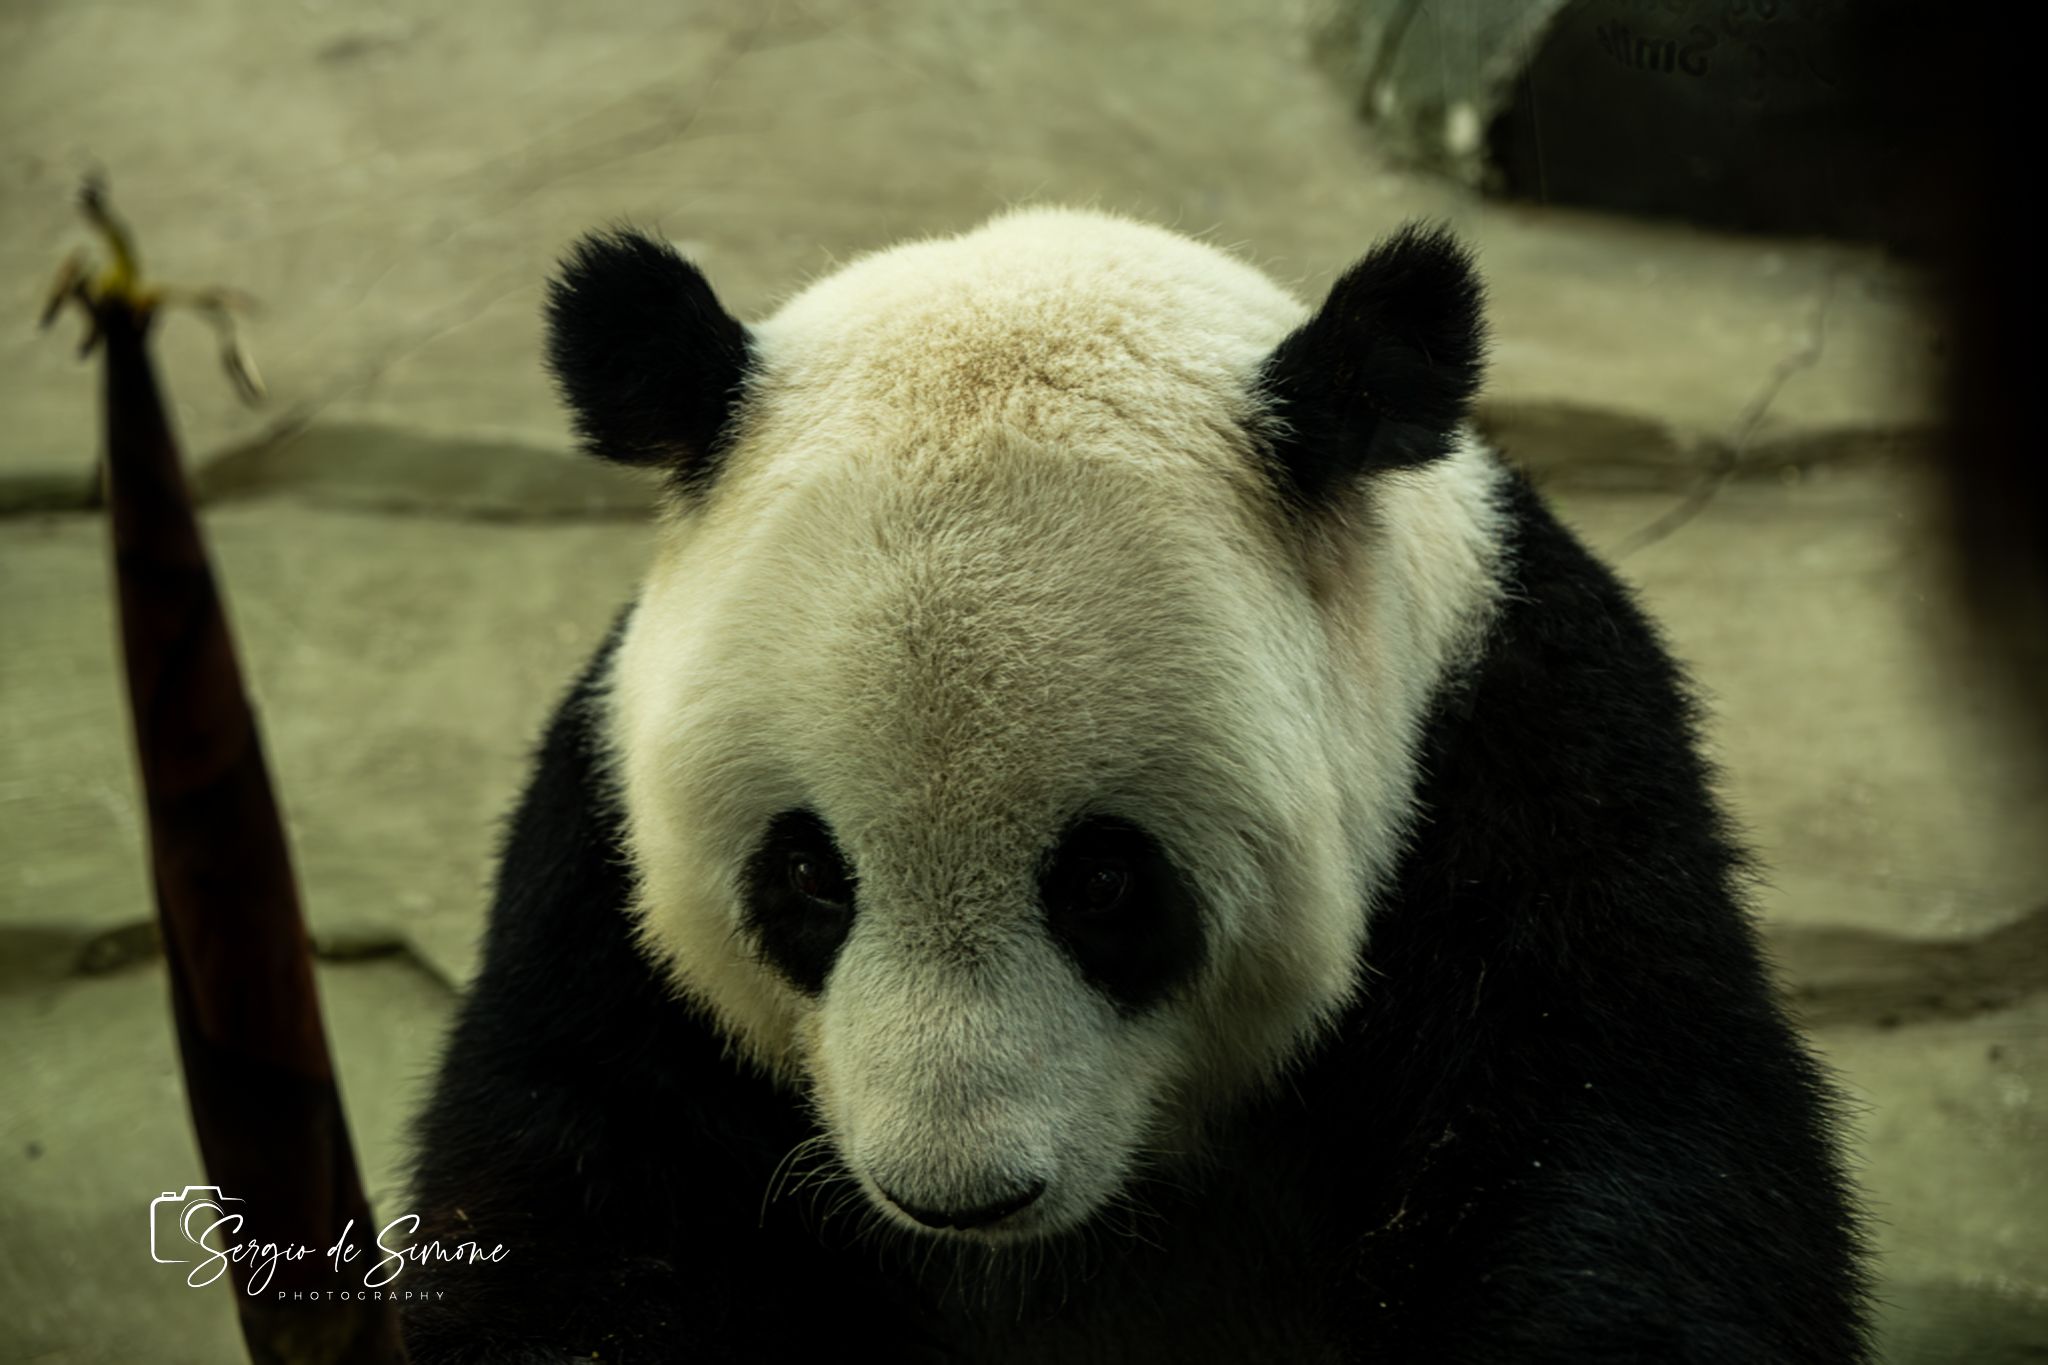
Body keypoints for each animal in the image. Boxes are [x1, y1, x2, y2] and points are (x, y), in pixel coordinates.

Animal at [402, 208, 1870, 1363]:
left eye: (1105, 882)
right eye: (807, 875)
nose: (960, 1195)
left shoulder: (1523, 778)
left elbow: (1626, 1151)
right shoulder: (601, 890)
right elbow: (569, 1203)